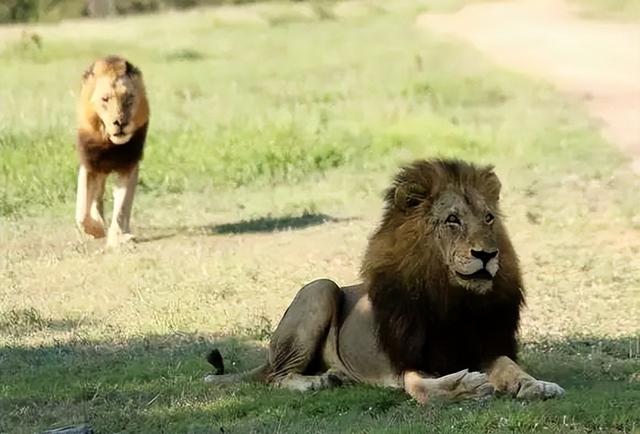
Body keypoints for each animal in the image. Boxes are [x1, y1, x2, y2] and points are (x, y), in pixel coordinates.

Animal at [74, 55, 149, 248]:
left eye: (129, 98)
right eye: (105, 99)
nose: (120, 122)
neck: (110, 144)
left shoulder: (129, 165)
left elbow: (122, 207)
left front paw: (118, 237)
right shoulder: (89, 164)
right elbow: (81, 212)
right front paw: (97, 230)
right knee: (96, 197)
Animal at [206, 159, 564, 404]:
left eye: (488, 218)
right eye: (453, 220)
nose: (487, 254)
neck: (453, 300)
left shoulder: (484, 346)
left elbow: (508, 365)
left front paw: (536, 384)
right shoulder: (408, 359)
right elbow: (423, 389)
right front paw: (465, 387)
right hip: (320, 287)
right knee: (276, 377)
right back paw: (316, 382)